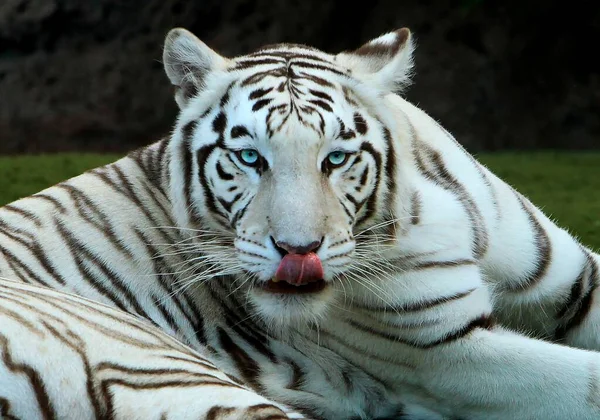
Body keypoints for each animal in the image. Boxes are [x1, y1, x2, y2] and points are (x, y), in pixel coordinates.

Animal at [1, 27, 600, 420]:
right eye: (249, 158)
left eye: (335, 158)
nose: (298, 250)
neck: (426, 205)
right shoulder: (445, 353)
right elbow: (585, 384)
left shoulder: (573, 280)